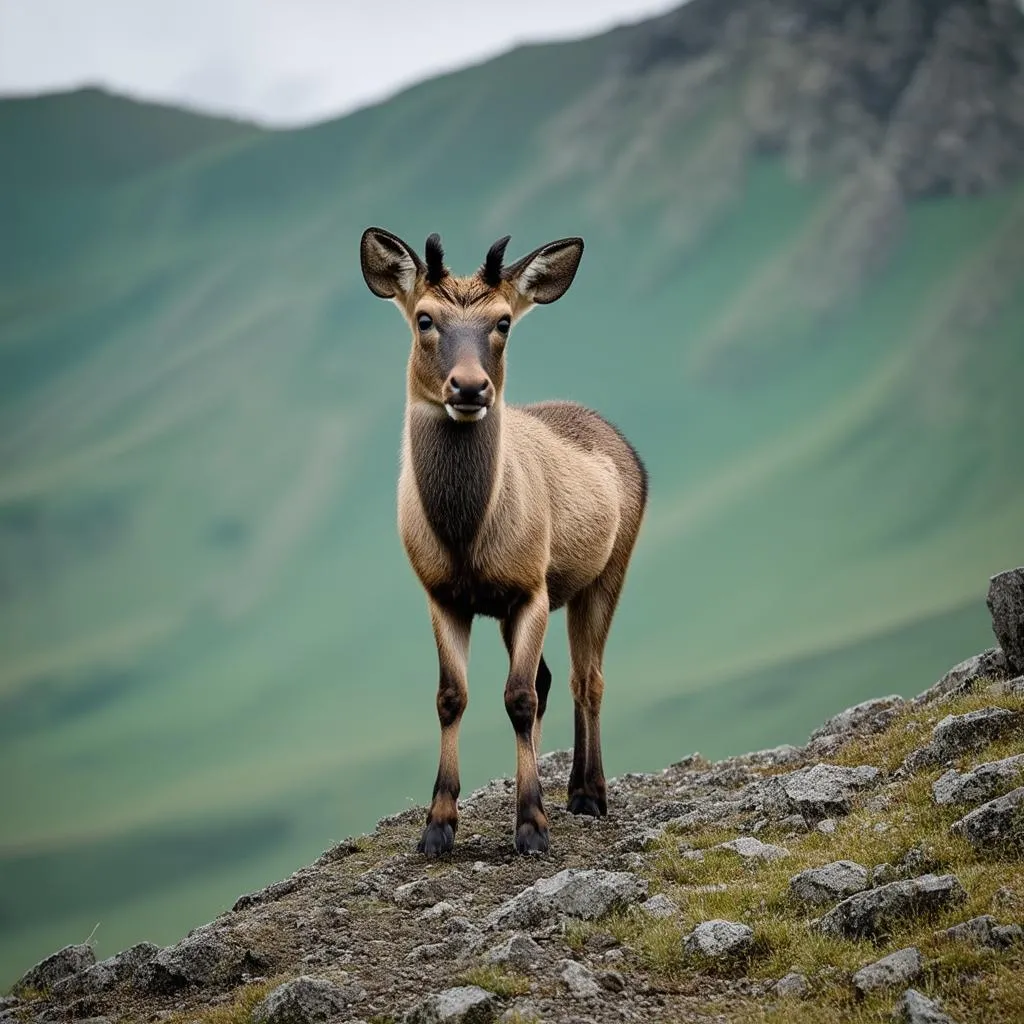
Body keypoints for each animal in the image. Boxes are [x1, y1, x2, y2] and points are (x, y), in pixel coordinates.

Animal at [360, 226, 647, 856]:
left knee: (586, 678)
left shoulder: (531, 587)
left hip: (608, 569)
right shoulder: (442, 594)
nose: (470, 387)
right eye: (424, 318)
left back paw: (588, 793)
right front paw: (438, 825)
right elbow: (452, 696)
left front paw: (532, 824)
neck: (465, 536)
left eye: (504, 322)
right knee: (552, 678)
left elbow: (518, 696)